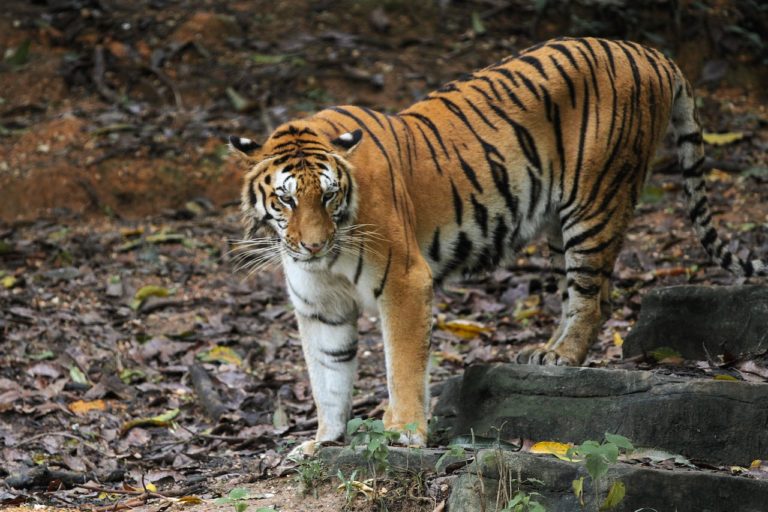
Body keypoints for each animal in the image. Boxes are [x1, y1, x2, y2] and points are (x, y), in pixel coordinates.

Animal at [228, 37, 768, 452]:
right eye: (286, 199)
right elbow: (328, 376)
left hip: (596, 200)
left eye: (328, 194)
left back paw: (562, 358)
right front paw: (324, 441)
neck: (328, 258)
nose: (313, 246)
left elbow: (402, 364)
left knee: (594, 297)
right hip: (560, 227)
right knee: (584, 294)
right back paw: (544, 355)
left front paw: (405, 431)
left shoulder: (404, 280)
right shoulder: (320, 306)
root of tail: (651, 52)